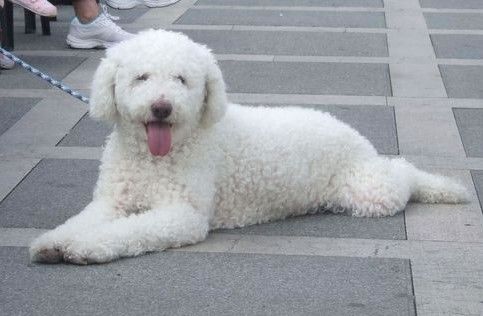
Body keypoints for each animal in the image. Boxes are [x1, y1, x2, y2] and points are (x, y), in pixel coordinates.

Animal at [29, 29, 468, 264]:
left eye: (182, 79)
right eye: (141, 77)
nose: (162, 107)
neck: (155, 158)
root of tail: (355, 138)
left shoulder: (182, 215)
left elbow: (127, 232)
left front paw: (85, 247)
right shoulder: (110, 202)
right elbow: (81, 221)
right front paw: (53, 243)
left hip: (369, 191)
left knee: (403, 175)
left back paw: (444, 186)